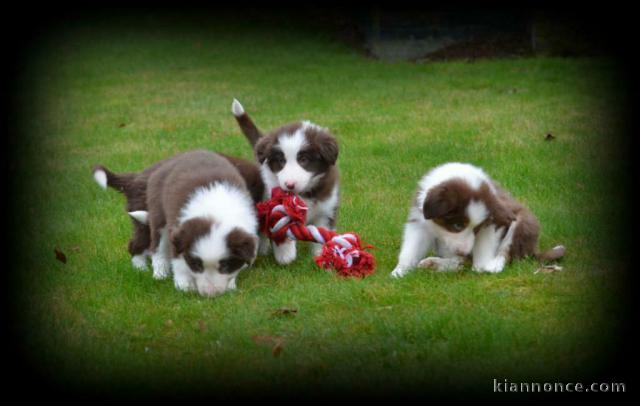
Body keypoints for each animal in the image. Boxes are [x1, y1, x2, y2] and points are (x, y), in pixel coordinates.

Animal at [230, 98, 340, 264]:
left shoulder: (326, 209)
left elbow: (322, 232)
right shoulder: (273, 205)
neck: (303, 195)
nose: (289, 185)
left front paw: (323, 257)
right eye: (281, 160)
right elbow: (280, 228)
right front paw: (286, 255)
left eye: (303, 159)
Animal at [390, 163, 564, 278]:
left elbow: (483, 246)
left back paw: (492, 265)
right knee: (463, 262)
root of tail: (534, 250)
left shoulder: (497, 220)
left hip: (523, 222)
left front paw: (482, 267)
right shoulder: (419, 222)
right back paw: (436, 263)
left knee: (506, 252)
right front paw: (399, 272)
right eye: (457, 225)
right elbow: (411, 250)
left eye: (477, 229)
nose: (464, 251)